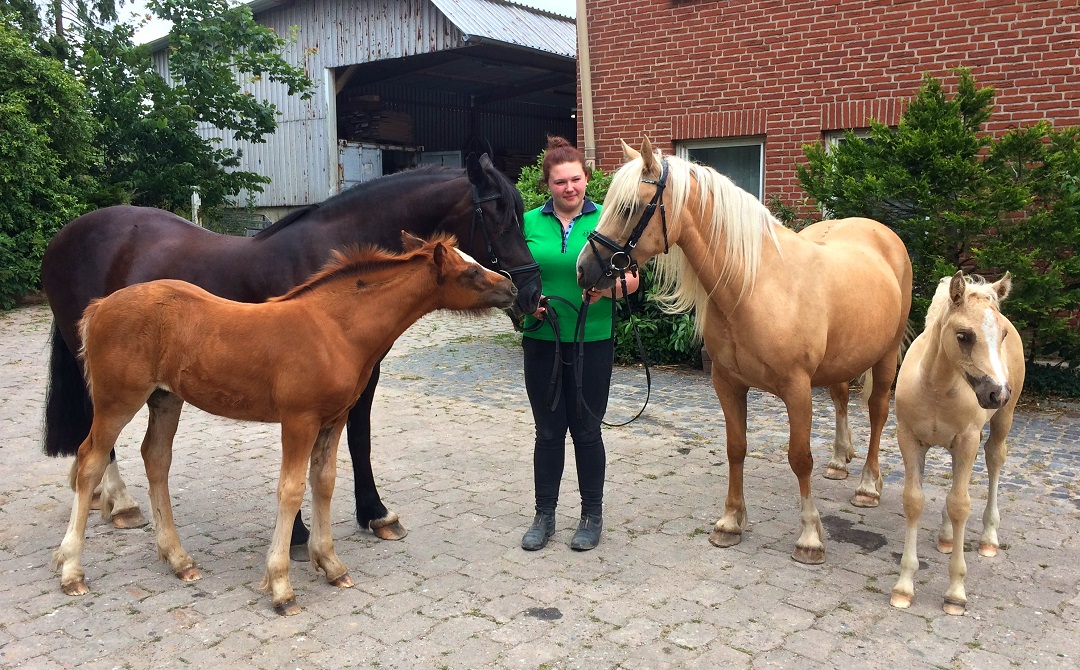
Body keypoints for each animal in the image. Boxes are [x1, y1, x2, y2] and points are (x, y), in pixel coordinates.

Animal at [40, 153, 541, 549]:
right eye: (498, 213)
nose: (530, 291)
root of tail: (67, 235)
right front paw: (301, 534)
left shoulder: (363, 374)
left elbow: (358, 440)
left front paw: (375, 514)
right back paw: (120, 503)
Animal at [53, 233, 516, 616]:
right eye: (471, 271)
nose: (512, 287)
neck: (335, 330)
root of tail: (100, 305)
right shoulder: (298, 420)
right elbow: (290, 491)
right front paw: (281, 586)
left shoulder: (333, 419)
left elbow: (324, 482)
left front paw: (331, 564)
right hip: (117, 400)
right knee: (90, 460)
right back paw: (72, 569)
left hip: (165, 398)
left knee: (156, 458)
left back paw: (179, 560)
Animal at [575, 138, 912, 564]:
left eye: (630, 207)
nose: (583, 271)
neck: (755, 285)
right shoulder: (727, 383)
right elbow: (736, 448)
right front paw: (730, 523)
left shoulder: (797, 390)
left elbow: (799, 458)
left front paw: (809, 537)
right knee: (840, 398)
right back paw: (839, 462)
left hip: (886, 357)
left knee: (878, 413)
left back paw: (868, 486)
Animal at [890, 272, 1024, 615]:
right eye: (964, 335)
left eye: (1002, 334)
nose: (997, 393)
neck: (936, 386)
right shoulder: (909, 438)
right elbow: (914, 500)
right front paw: (904, 587)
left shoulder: (966, 440)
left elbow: (961, 505)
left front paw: (955, 592)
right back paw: (947, 536)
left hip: (1001, 422)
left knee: (994, 459)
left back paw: (989, 538)